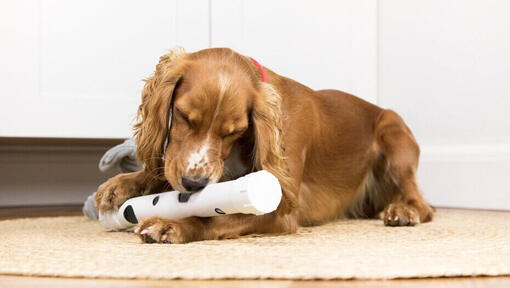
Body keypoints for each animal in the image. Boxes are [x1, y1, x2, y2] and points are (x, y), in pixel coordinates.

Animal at [93, 46, 432, 243]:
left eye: (234, 131)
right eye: (184, 117)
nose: (193, 183)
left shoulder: (281, 209)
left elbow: (215, 215)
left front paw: (171, 225)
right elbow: (163, 173)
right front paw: (122, 184)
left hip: (394, 137)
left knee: (424, 205)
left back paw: (404, 211)